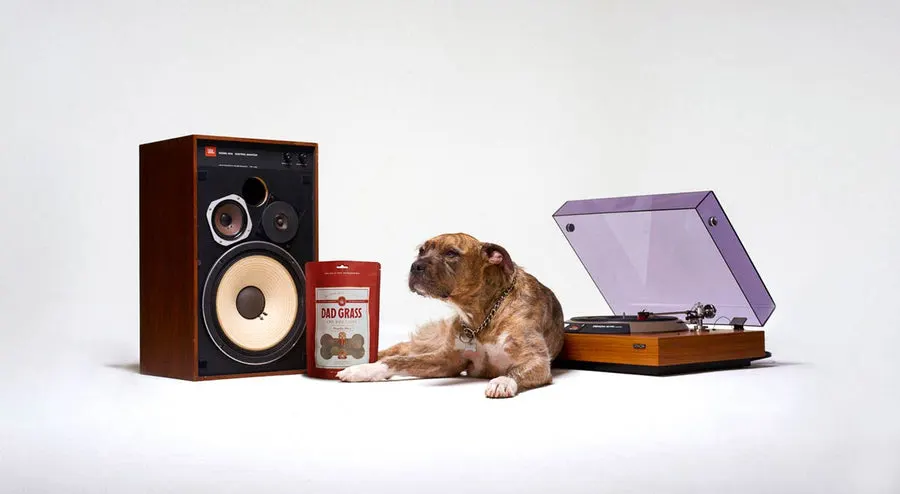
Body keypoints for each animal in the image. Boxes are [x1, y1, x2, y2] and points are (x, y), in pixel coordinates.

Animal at [334, 232, 568, 398]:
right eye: (422, 250)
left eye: (451, 253)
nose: (415, 266)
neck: (482, 315)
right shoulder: (447, 359)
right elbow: (397, 361)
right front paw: (363, 370)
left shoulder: (537, 361)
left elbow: (515, 371)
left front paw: (502, 382)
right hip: (429, 342)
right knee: (398, 349)